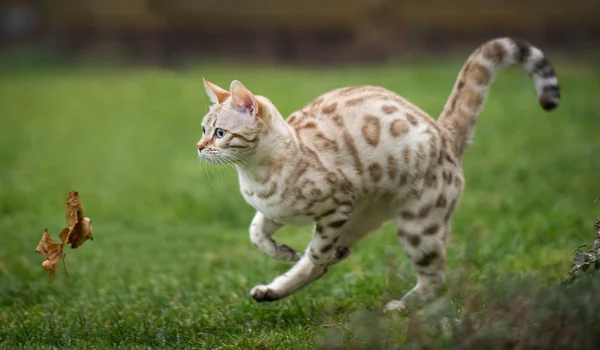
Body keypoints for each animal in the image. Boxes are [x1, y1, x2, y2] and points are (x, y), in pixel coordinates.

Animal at [196, 37, 556, 312]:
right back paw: (272, 291)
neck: (254, 175)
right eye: (203, 129)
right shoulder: (276, 212)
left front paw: (311, 253)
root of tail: (444, 130)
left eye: (220, 133)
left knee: (435, 278)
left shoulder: (337, 206)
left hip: (417, 226)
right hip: (365, 217)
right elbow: (257, 233)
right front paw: (282, 252)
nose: (198, 147)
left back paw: (401, 307)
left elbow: (315, 253)